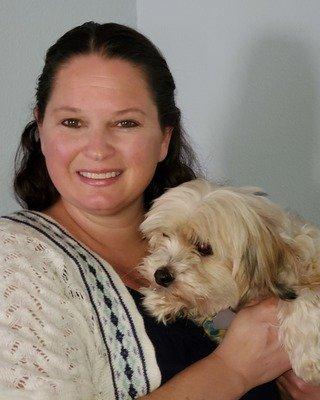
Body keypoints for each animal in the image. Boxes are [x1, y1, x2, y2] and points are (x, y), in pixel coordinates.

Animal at [140, 178, 320, 384]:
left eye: (204, 247)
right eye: (165, 235)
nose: (160, 276)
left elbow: (303, 297)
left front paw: (308, 357)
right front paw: (162, 301)